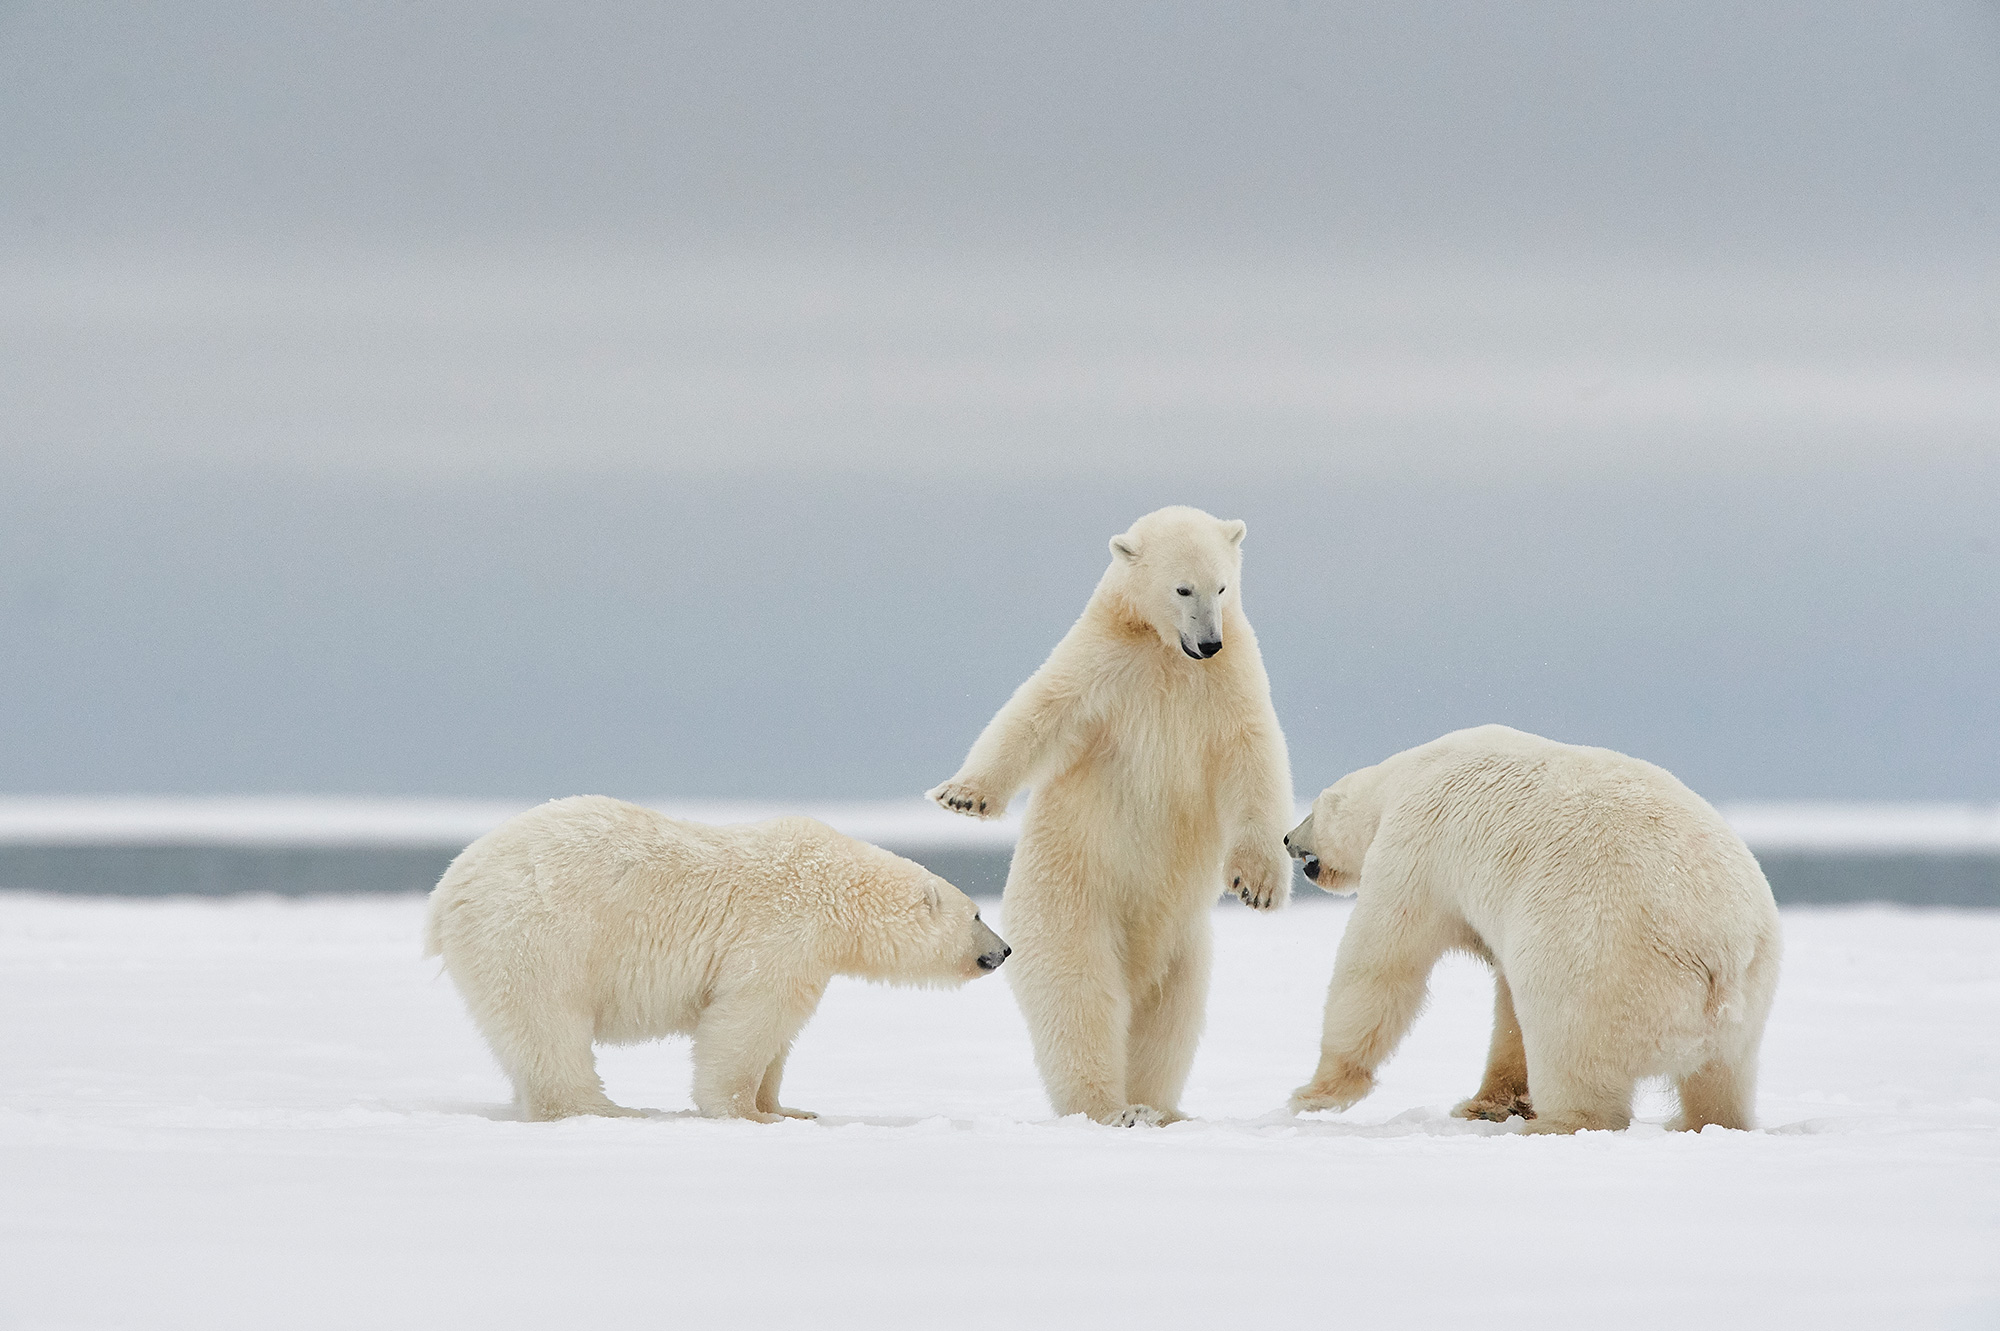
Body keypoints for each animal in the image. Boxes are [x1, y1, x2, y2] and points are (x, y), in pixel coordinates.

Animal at [428, 799, 1008, 1119]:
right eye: (979, 914)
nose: (1002, 951)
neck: (837, 889)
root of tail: (448, 889)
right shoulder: (783, 931)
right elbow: (746, 1021)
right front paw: (749, 1114)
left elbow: (779, 1037)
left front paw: (789, 1108)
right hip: (537, 934)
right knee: (550, 1026)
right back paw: (605, 1109)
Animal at [924, 505, 1288, 1119]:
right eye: (1182, 587)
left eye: (1222, 585)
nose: (1209, 642)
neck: (1165, 652)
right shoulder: (1105, 663)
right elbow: (1039, 709)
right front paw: (963, 796)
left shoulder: (1229, 682)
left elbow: (1253, 759)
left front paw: (1258, 886)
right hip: (1072, 897)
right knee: (1081, 995)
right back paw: (1111, 1108)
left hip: (1185, 942)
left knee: (1171, 1014)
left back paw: (1158, 1107)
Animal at [1288, 727, 1792, 1127]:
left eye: (1311, 808)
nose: (1288, 839)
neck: (1410, 772)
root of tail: (1722, 950)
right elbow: (1507, 1003)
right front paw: (1489, 1104)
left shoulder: (1415, 846)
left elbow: (1381, 963)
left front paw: (1312, 1094)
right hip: (1750, 998)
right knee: (1723, 1079)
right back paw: (1700, 1122)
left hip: (1603, 965)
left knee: (1572, 1053)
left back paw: (1557, 1124)